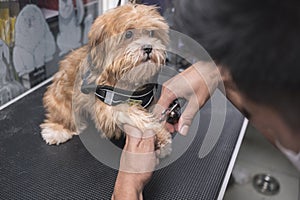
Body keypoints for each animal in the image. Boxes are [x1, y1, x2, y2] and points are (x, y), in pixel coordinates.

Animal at [39, 3, 171, 156]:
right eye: (128, 34)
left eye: (151, 33)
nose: (148, 48)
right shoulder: (107, 106)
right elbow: (132, 112)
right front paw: (156, 132)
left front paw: (161, 136)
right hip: (61, 99)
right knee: (62, 115)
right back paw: (57, 130)